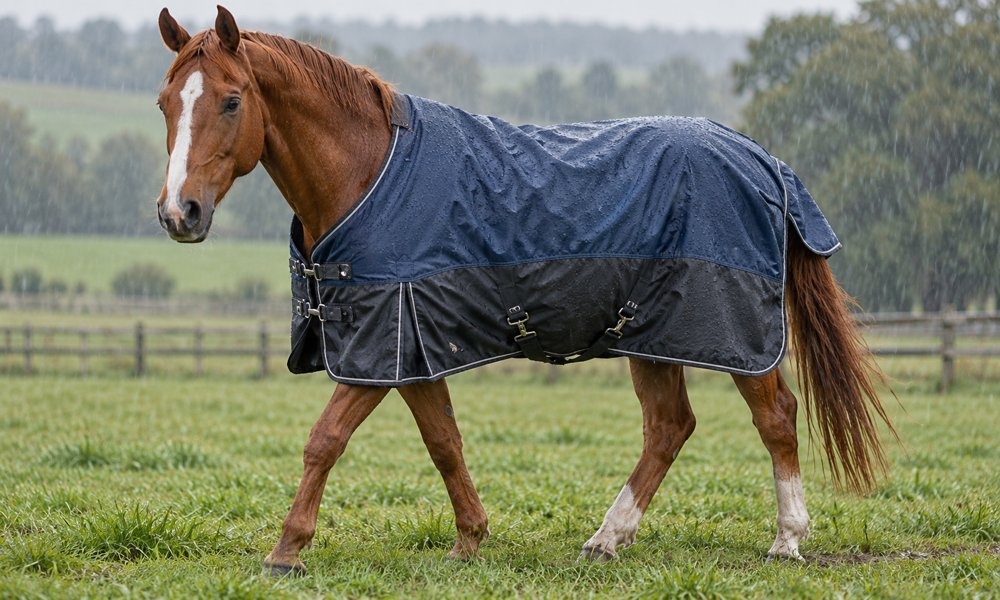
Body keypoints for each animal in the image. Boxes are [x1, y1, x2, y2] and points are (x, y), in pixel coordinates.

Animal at [155, 6, 895, 575]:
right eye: (165, 103)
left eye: (231, 100)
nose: (177, 213)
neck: (369, 172)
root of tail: (761, 157)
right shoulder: (414, 344)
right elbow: (444, 440)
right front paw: (468, 540)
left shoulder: (378, 345)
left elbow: (324, 439)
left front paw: (286, 550)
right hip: (649, 333)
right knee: (669, 428)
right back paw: (606, 539)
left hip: (734, 334)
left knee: (776, 417)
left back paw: (786, 540)